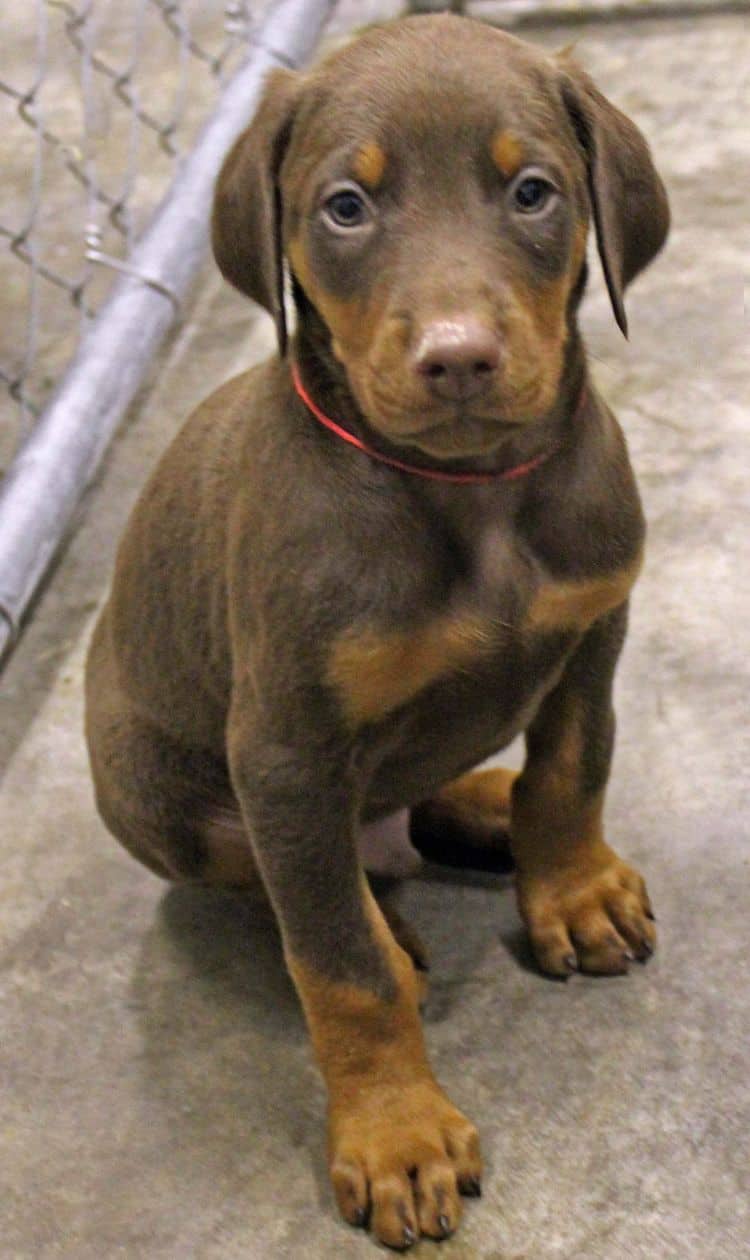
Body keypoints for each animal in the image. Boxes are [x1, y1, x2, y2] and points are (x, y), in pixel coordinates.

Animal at [86, 12, 670, 1249]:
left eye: (533, 192)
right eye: (345, 208)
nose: (457, 358)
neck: (469, 495)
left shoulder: (595, 627)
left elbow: (572, 771)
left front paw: (573, 890)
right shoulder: (287, 752)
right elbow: (340, 967)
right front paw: (398, 1136)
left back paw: (483, 806)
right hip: (146, 790)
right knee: (280, 888)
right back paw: (380, 911)